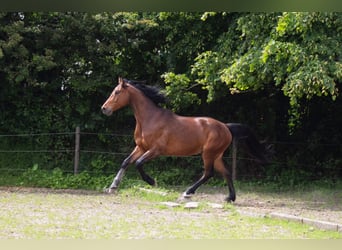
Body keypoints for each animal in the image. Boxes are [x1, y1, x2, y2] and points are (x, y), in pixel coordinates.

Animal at [100, 77, 268, 202]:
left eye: (117, 92)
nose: (104, 109)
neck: (150, 118)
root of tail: (226, 127)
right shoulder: (141, 147)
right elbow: (126, 162)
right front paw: (113, 186)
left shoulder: (156, 150)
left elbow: (138, 163)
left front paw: (152, 182)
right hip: (217, 155)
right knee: (225, 173)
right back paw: (230, 198)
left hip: (208, 153)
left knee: (208, 173)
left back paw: (187, 193)